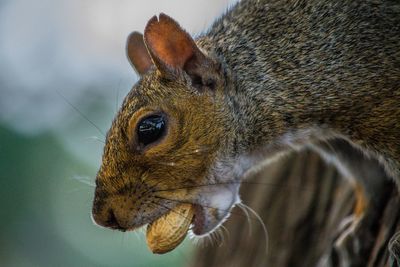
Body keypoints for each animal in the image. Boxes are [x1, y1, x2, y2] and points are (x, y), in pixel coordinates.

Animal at [91, 0, 400, 260]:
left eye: (149, 129)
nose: (103, 217)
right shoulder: (338, 144)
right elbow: (368, 178)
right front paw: (356, 228)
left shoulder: (378, 105)